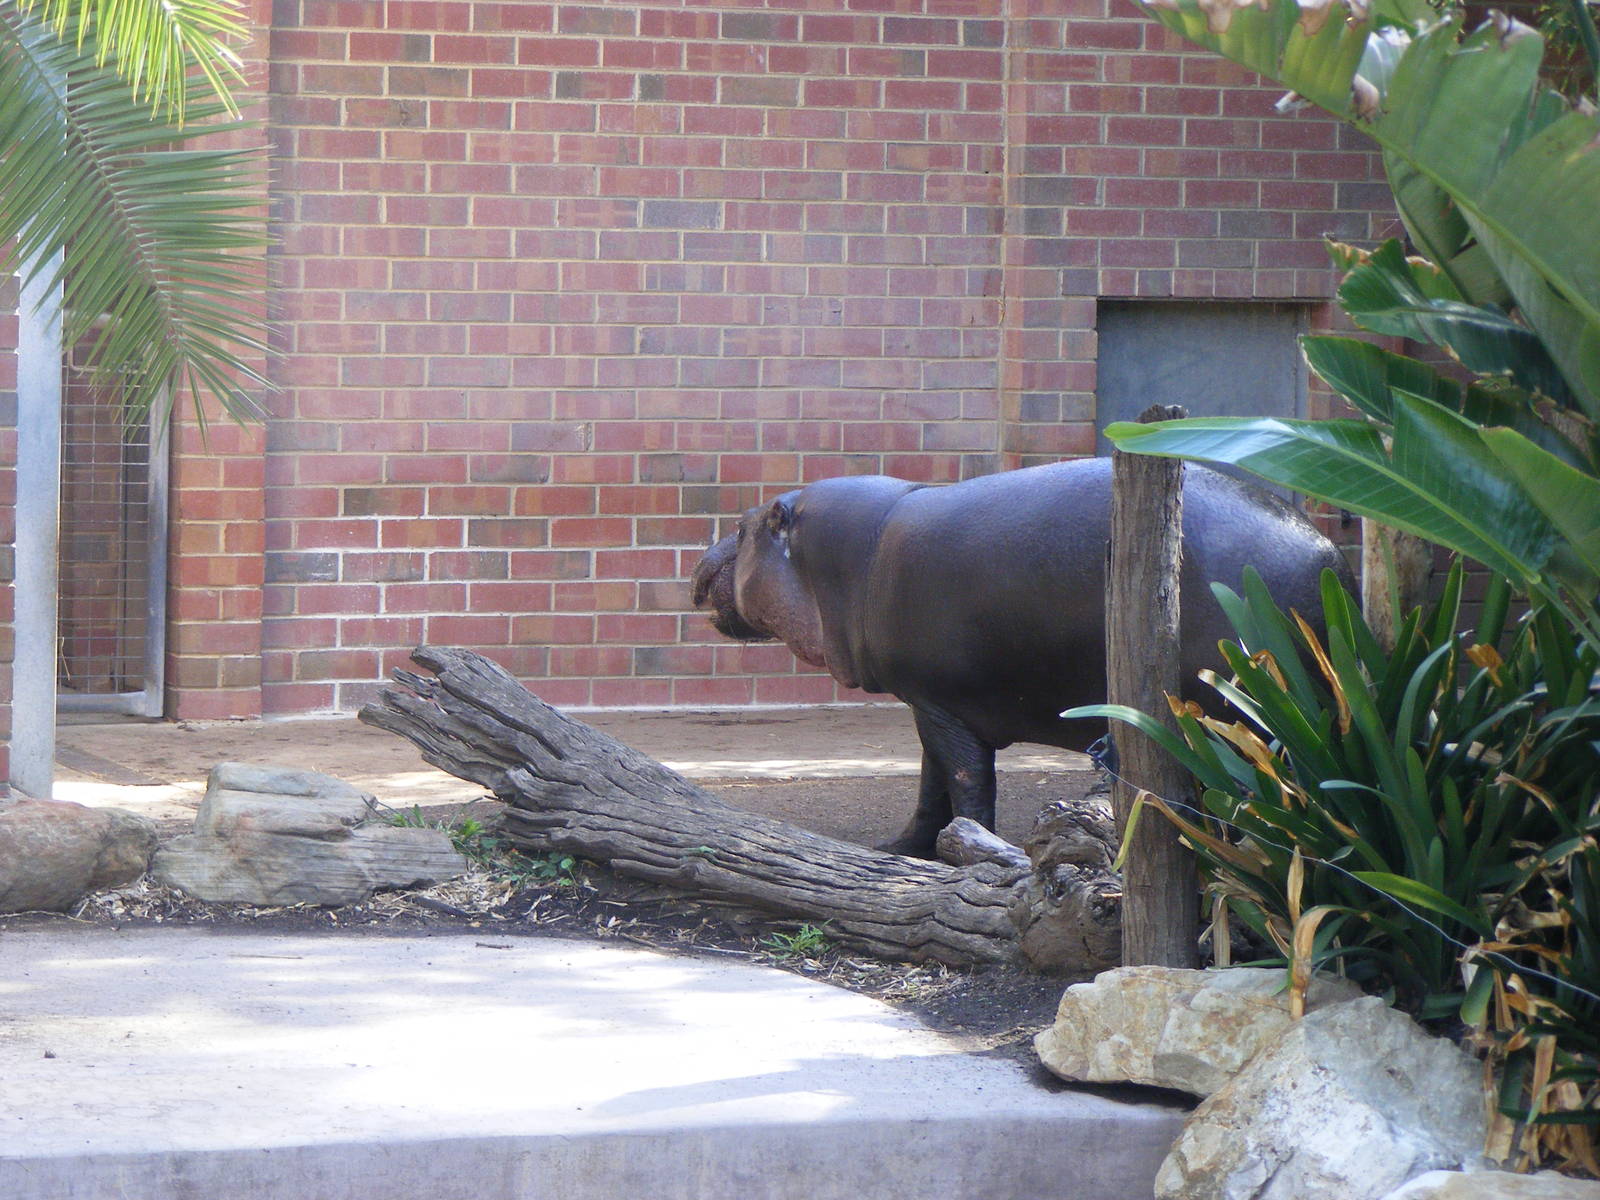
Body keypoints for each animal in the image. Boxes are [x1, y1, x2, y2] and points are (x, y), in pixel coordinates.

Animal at [690, 458, 1353, 858]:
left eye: (744, 527)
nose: (705, 555)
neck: (847, 556)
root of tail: (1324, 551)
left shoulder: (941, 703)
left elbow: (963, 781)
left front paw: (964, 849)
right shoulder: (932, 703)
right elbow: (930, 784)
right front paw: (900, 849)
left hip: (1229, 714)